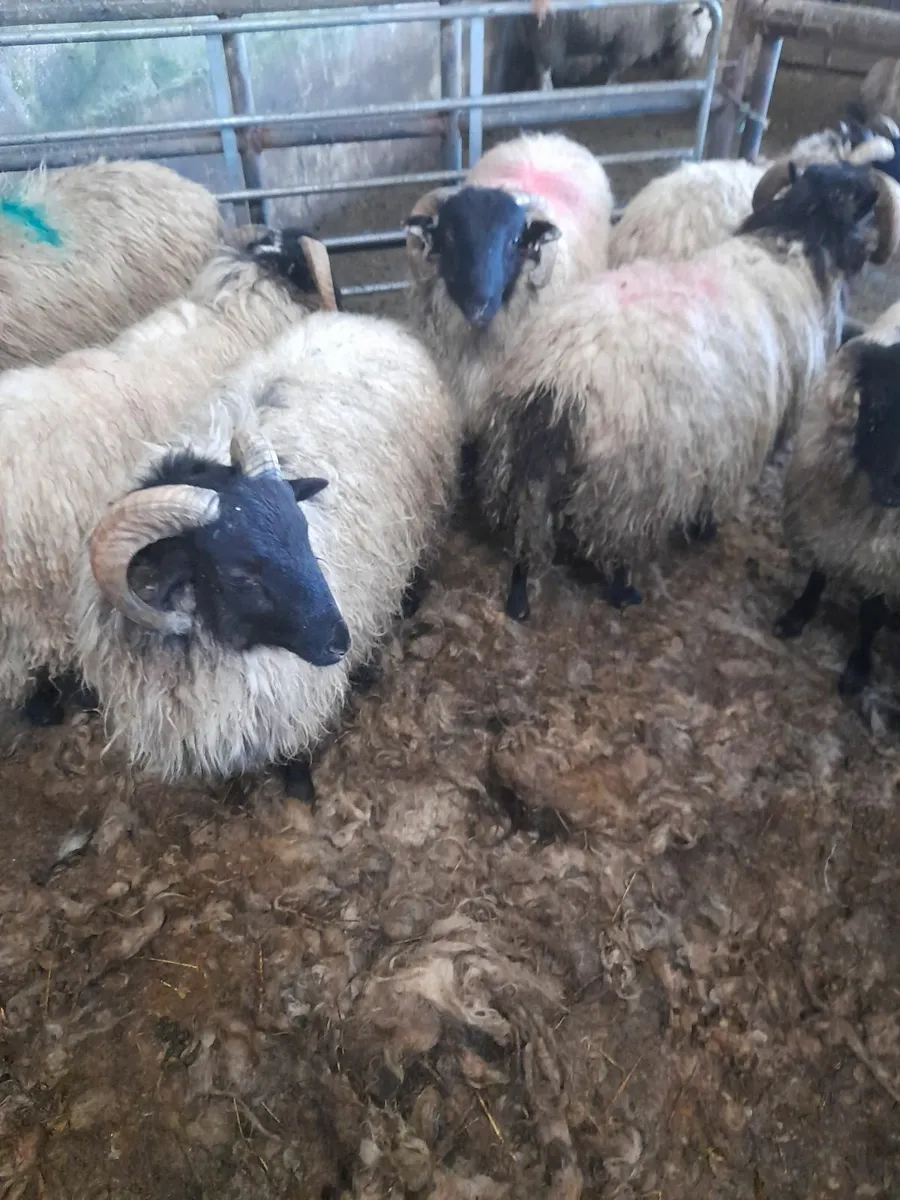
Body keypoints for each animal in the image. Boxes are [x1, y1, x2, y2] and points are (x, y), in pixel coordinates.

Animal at [468, 161, 900, 622]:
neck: (793, 245)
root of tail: (563, 377)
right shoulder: (741, 439)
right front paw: (704, 528)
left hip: (520, 455)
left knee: (526, 532)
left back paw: (518, 601)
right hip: (633, 483)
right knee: (618, 548)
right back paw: (625, 590)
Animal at [776, 298, 900, 697]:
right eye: (874, 413)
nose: (893, 487)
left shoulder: (887, 566)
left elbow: (871, 615)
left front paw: (858, 668)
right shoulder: (823, 524)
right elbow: (818, 575)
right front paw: (796, 616)